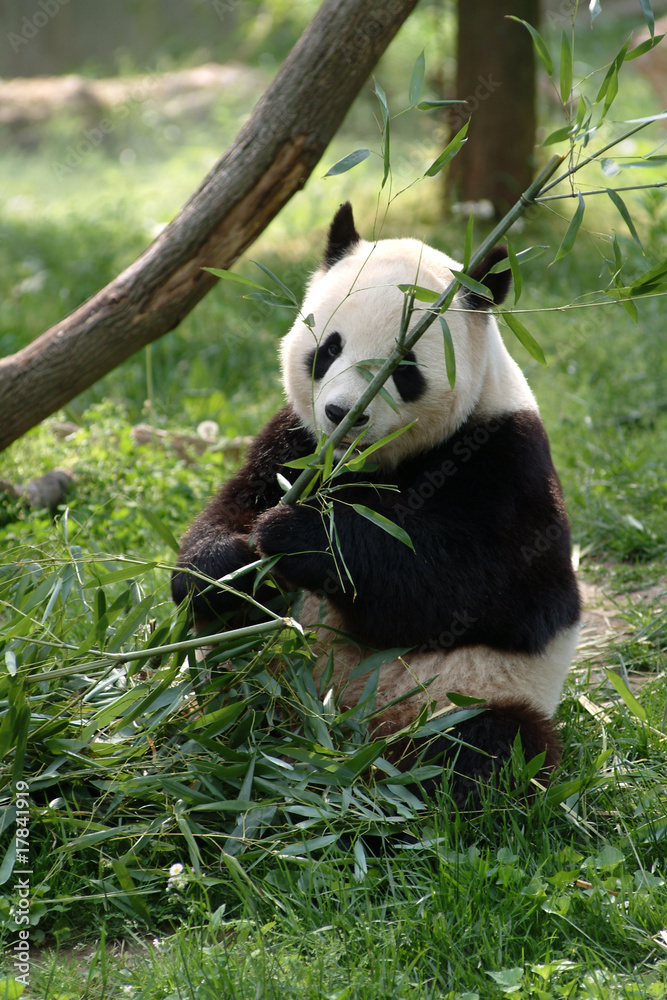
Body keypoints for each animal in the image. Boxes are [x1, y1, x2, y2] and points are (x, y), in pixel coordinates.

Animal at [172, 202, 581, 809]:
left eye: (404, 366)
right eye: (328, 348)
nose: (343, 413)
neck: (368, 465)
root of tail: (336, 730)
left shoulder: (504, 458)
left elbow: (485, 587)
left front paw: (301, 537)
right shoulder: (294, 442)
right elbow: (228, 515)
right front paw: (232, 566)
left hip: (464, 695)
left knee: (488, 747)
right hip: (264, 664)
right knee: (233, 665)